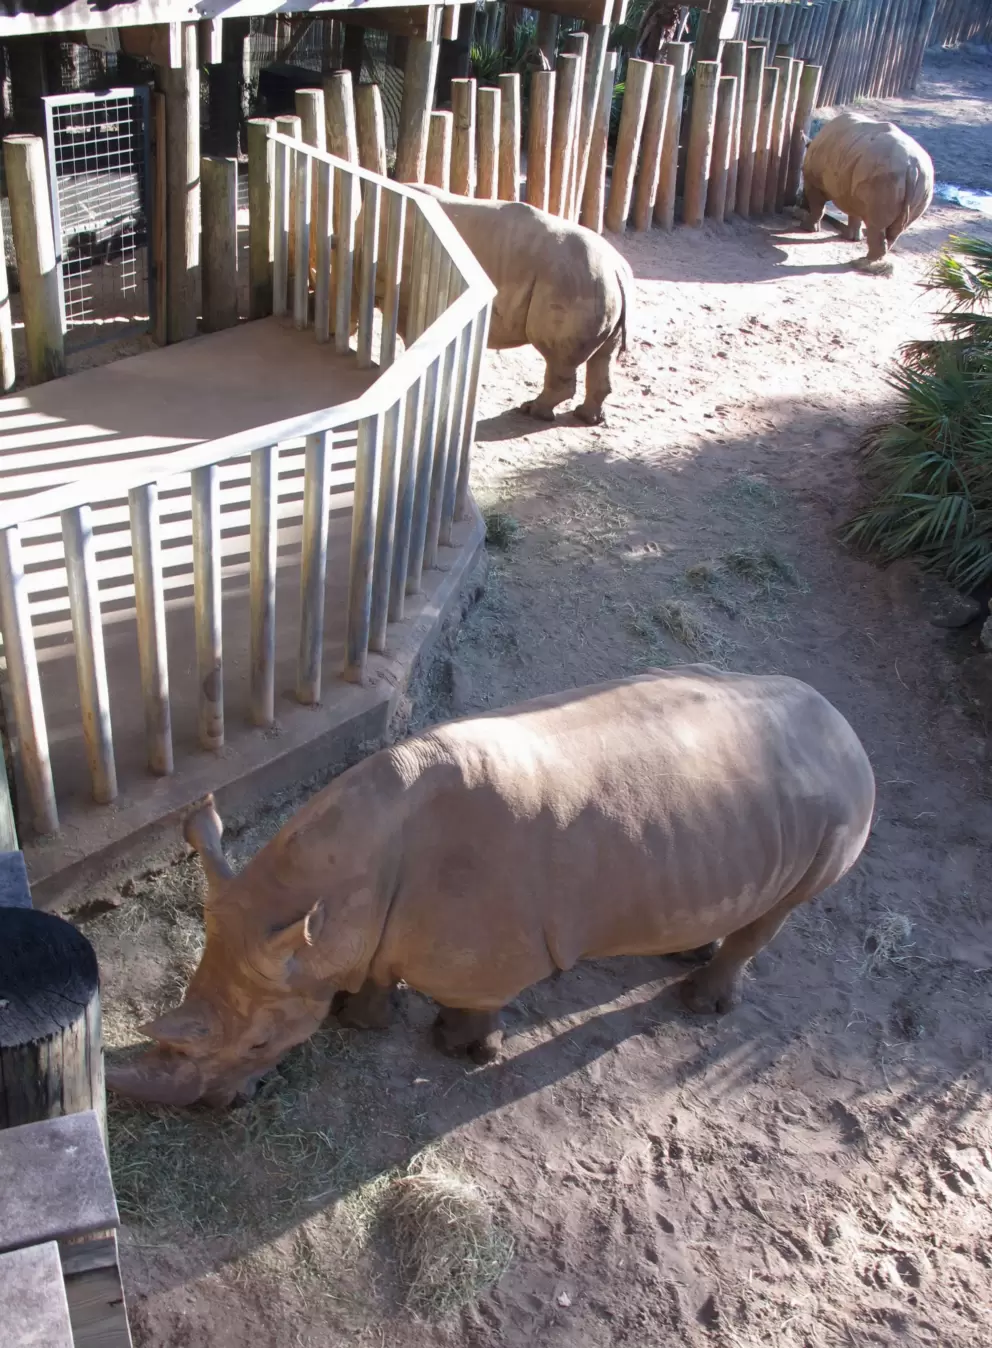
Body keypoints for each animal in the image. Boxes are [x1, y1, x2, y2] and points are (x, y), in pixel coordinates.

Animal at [105, 666, 874, 1109]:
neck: (336, 893)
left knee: (784, 907)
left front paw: (463, 1051)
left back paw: (701, 1005)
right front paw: (362, 1019)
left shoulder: (484, 961)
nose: (218, 1108)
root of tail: (845, 725)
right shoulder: (357, 928)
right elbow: (375, 971)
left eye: (261, 1045)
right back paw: (686, 955)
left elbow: (472, 1001)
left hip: (840, 811)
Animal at [800, 111, 934, 265]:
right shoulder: (851, 184)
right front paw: (852, 238)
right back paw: (875, 260)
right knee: (896, 230)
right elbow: (854, 212)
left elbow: (818, 206)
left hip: (885, 177)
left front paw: (808, 229)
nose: (801, 201)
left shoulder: (814, 182)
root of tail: (912, 168)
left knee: (876, 225)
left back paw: (863, 263)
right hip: (923, 183)